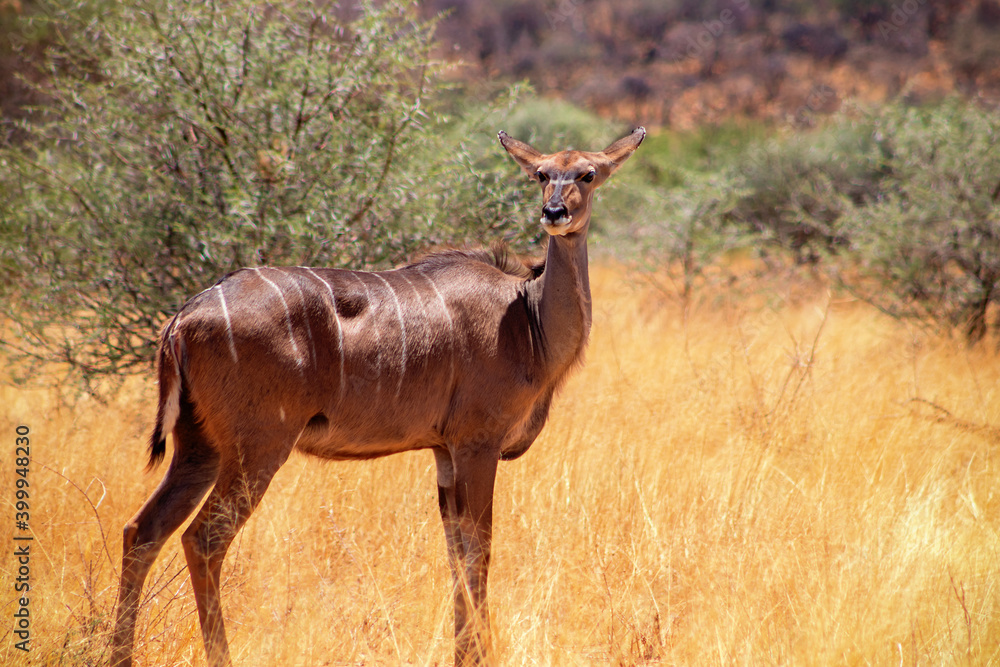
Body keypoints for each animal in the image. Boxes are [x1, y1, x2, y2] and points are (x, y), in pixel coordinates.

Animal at [110, 127, 645, 666]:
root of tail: (184, 318)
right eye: (540, 174)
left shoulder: (444, 454)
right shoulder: (478, 443)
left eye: (588, 174)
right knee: (203, 539)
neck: (526, 316)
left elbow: (457, 553)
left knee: (142, 531)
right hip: (256, 448)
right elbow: (480, 550)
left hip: (199, 447)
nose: (554, 213)